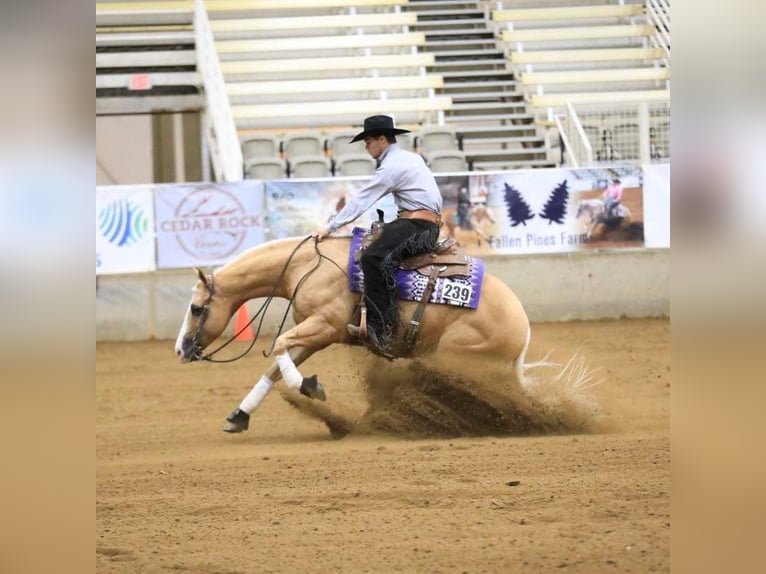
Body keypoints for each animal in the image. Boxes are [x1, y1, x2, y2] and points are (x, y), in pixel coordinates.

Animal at [176, 234, 600, 436]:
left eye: (196, 309)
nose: (181, 350)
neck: (308, 266)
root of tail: (522, 327)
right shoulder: (316, 334)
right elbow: (275, 368)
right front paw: (239, 415)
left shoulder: (324, 325)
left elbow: (279, 348)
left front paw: (312, 387)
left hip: (452, 357)